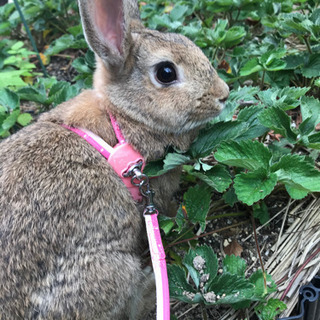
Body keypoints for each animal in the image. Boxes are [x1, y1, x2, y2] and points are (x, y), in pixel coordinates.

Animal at [0, 0, 230, 318]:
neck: (122, 117)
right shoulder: (154, 192)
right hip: (105, 274)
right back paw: (151, 286)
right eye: (166, 72)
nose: (224, 94)